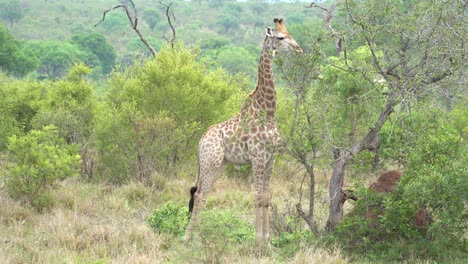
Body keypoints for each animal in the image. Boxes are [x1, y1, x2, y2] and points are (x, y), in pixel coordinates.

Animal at [185, 17, 302, 242]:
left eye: (290, 34)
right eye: (280, 37)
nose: (298, 49)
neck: (268, 112)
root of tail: (200, 141)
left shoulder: (271, 157)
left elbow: (266, 197)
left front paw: (267, 240)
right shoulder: (257, 157)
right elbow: (256, 196)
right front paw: (257, 239)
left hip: (219, 164)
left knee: (202, 193)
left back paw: (196, 235)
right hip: (210, 162)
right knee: (200, 194)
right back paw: (190, 238)